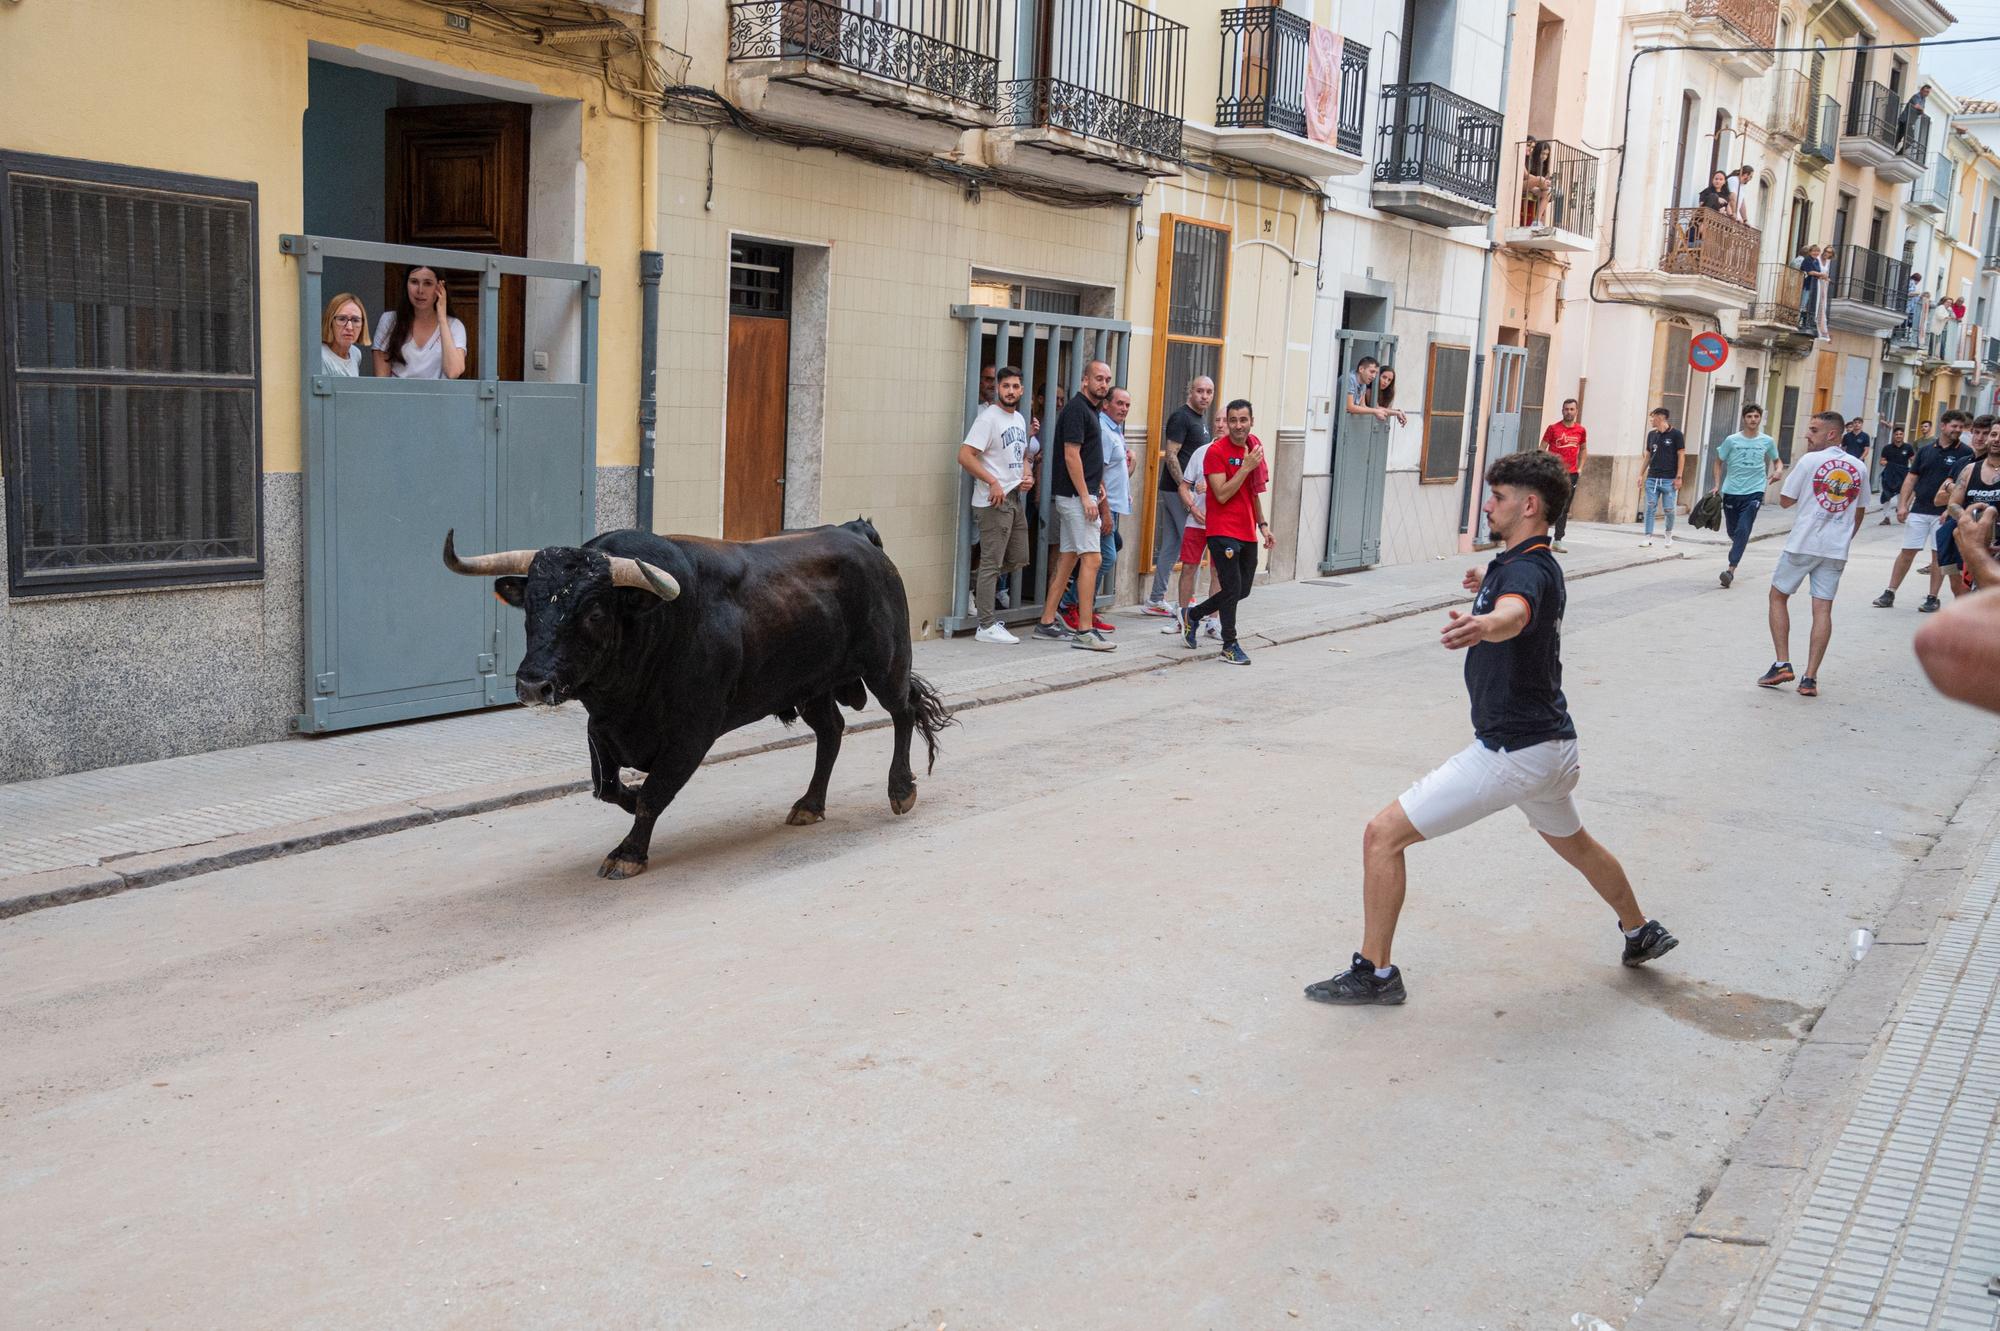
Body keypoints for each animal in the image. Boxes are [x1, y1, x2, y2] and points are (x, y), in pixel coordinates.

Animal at [444, 519, 952, 879]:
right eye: (530, 607)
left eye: (593, 612)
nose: (533, 685)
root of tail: (856, 533)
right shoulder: (601, 729)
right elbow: (608, 788)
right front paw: (628, 805)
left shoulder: (691, 733)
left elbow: (654, 794)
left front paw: (629, 853)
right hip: (812, 687)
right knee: (831, 732)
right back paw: (810, 804)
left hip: (886, 663)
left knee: (903, 712)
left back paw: (900, 790)